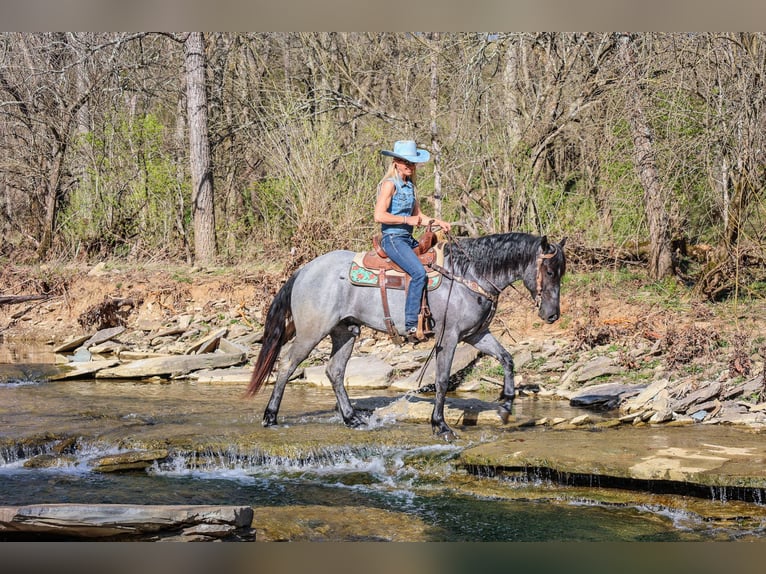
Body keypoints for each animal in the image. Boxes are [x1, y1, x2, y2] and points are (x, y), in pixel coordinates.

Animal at [249, 232, 568, 438]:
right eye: (550, 271)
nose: (552, 315)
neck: (469, 275)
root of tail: (304, 270)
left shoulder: (476, 335)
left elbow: (507, 358)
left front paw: (506, 403)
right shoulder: (449, 337)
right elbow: (441, 380)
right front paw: (440, 425)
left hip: (345, 332)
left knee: (335, 372)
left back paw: (352, 418)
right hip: (312, 332)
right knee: (286, 365)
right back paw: (270, 416)